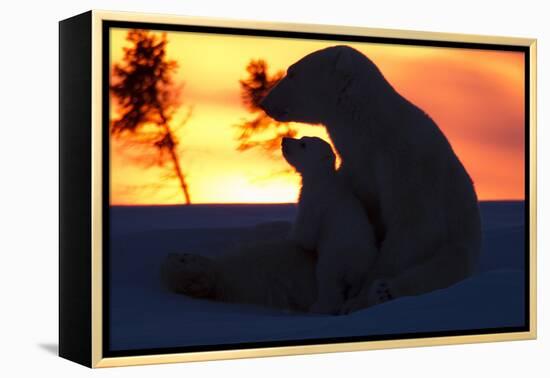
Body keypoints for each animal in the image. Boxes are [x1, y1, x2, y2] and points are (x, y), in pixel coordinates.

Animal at [284, 137, 380, 314]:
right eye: (302, 138)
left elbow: (307, 234)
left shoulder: (314, 200)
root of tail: (354, 267)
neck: (323, 178)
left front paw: (292, 237)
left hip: (333, 258)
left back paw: (318, 306)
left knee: (328, 282)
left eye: (303, 144)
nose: (284, 140)